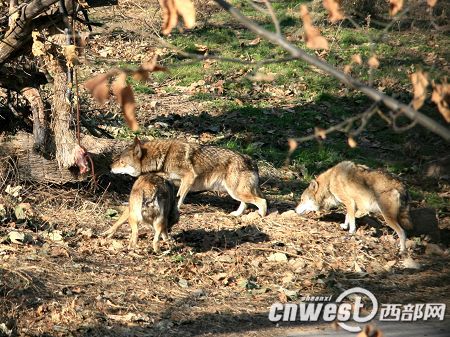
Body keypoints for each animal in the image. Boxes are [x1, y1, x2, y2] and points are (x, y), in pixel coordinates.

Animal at [111, 136, 268, 215]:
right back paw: (236, 214)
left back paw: (261, 216)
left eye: (122, 162)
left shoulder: (189, 178)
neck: (164, 156)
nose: (110, 167)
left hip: (235, 192)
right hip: (235, 193)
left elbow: (179, 198)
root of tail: (251, 161)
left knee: (262, 201)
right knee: (247, 203)